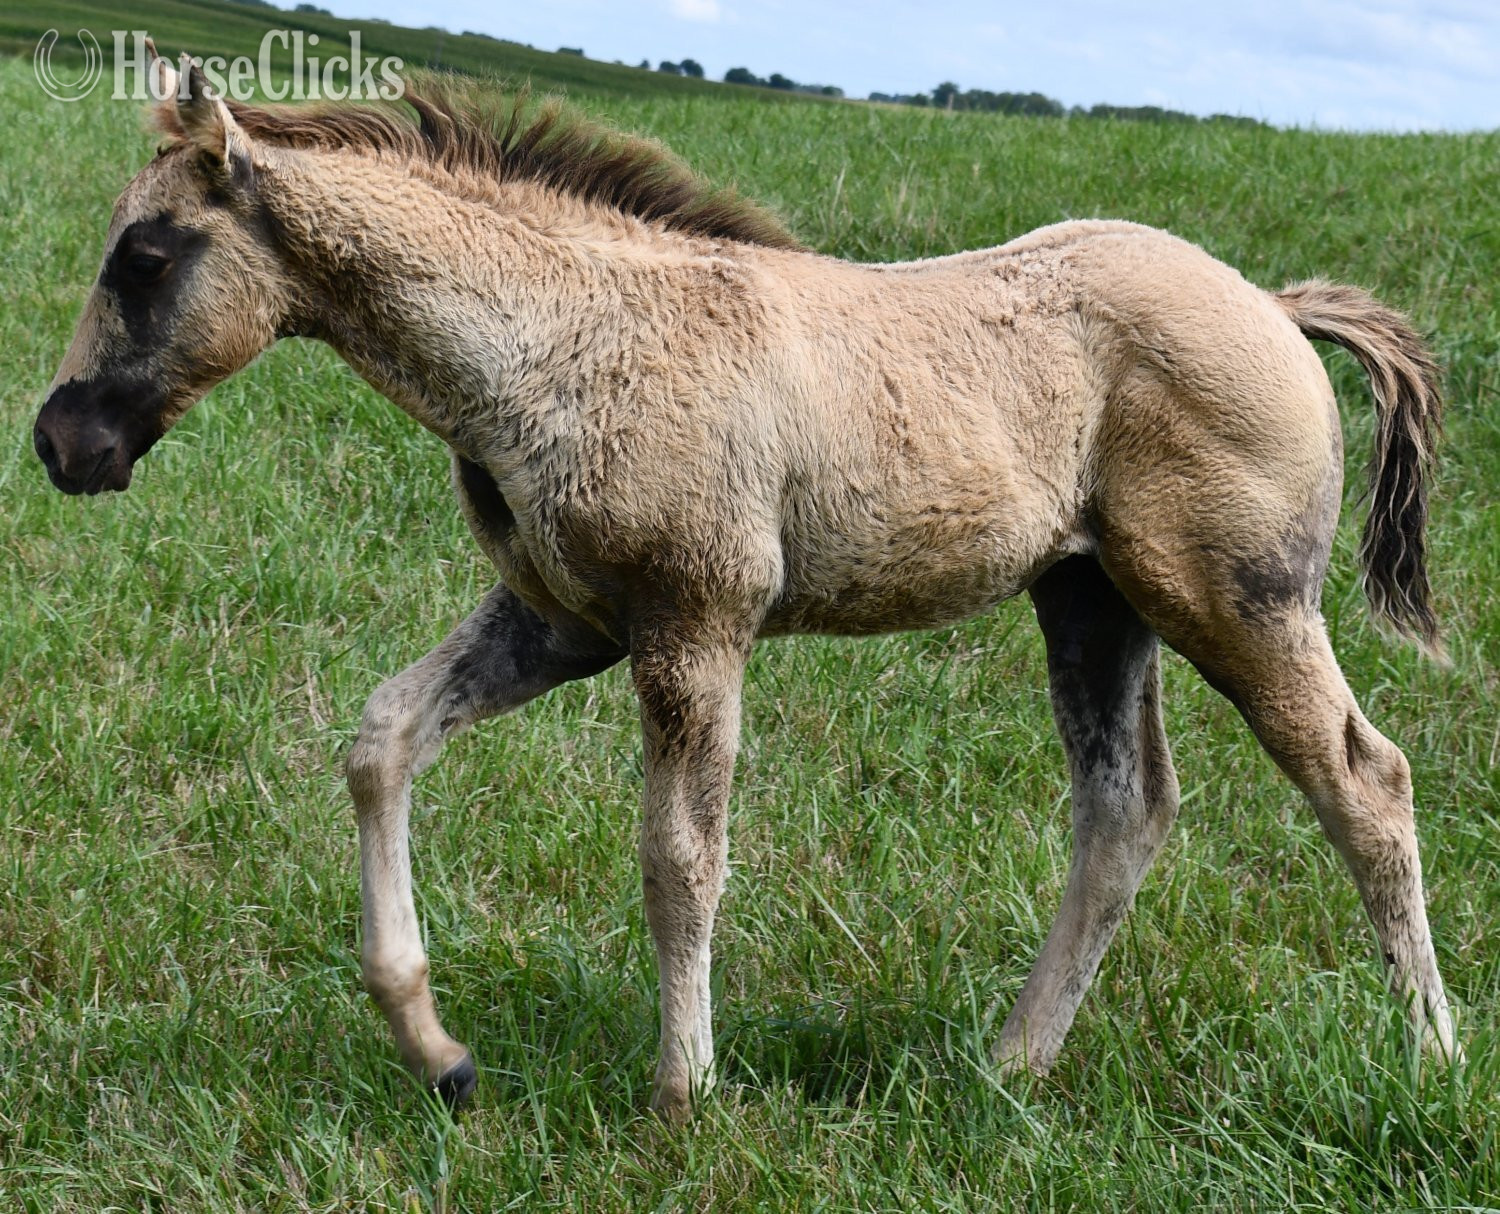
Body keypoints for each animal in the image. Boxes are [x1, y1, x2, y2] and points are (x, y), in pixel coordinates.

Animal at [34, 50, 1459, 1120]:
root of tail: (1276, 304)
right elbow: (382, 738)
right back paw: (1006, 1066)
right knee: (1125, 809)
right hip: (1091, 602)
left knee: (1366, 781)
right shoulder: (562, 622)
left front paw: (684, 1092)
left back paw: (1430, 1057)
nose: (61, 441)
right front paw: (437, 1051)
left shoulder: (694, 625)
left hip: (1236, 598)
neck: (558, 342)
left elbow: (680, 856)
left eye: (144, 258)